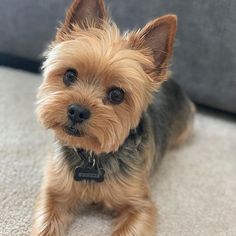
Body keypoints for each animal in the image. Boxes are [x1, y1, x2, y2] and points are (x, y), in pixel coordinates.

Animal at [31, 0, 195, 235]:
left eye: (116, 95)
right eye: (69, 75)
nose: (77, 111)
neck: (92, 156)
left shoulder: (139, 205)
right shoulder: (55, 192)